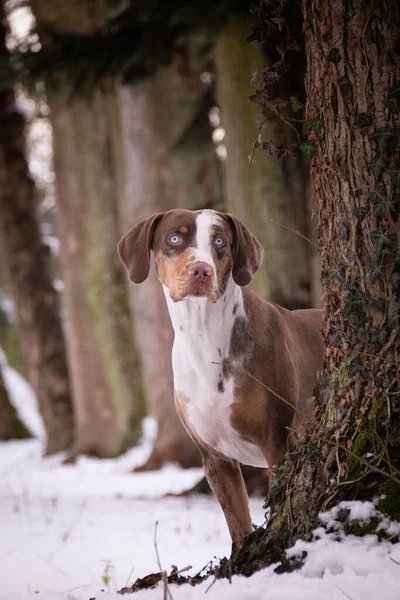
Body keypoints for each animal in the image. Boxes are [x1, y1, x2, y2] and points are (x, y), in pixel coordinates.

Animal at [117, 210, 324, 548]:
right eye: (174, 238)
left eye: (219, 241)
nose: (201, 269)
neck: (205, 336)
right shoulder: (216, 460)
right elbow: (238, 525)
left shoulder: (277, 443)